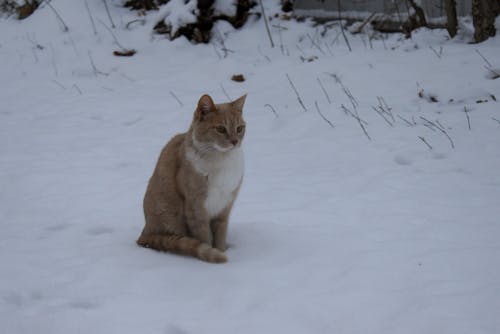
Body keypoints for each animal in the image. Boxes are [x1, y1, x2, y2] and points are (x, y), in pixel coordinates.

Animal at [136, 92, 247, 262]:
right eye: (221, 129)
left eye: (239, 128)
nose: (235, 141)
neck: (222, 161)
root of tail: (144, 233)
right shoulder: (196, 208)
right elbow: (204, 238)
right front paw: (211, 255)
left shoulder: (224, 208)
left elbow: (220, 236)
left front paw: (221, 250)